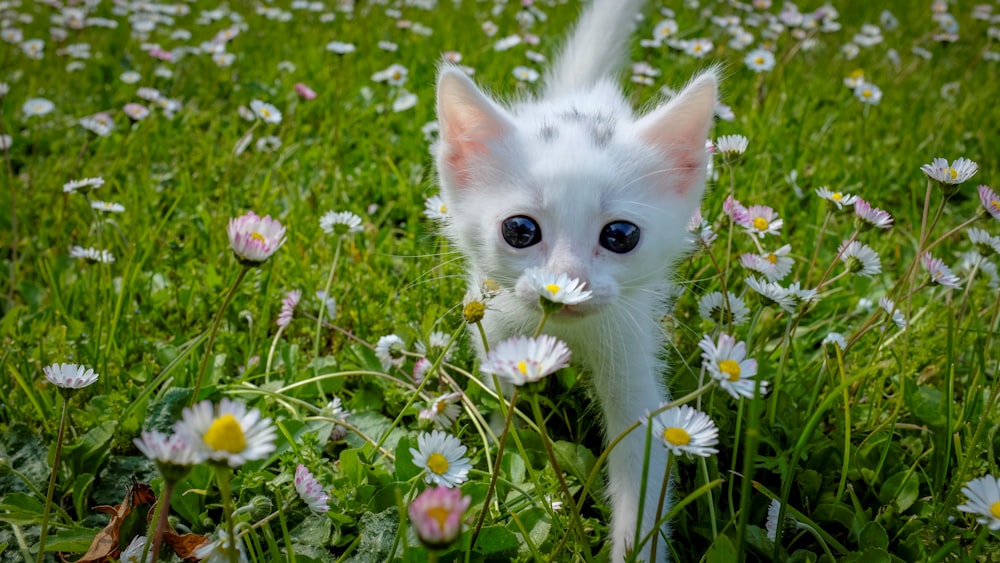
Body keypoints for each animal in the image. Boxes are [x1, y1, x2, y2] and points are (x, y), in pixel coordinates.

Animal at [434, 2, 716, 560]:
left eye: (621, 235)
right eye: (520, 230)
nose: (564, 284)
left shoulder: (631, 353)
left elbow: (642, 461)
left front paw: (634, 547)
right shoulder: (495, 326)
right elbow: (502, 400)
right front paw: (498, 444)